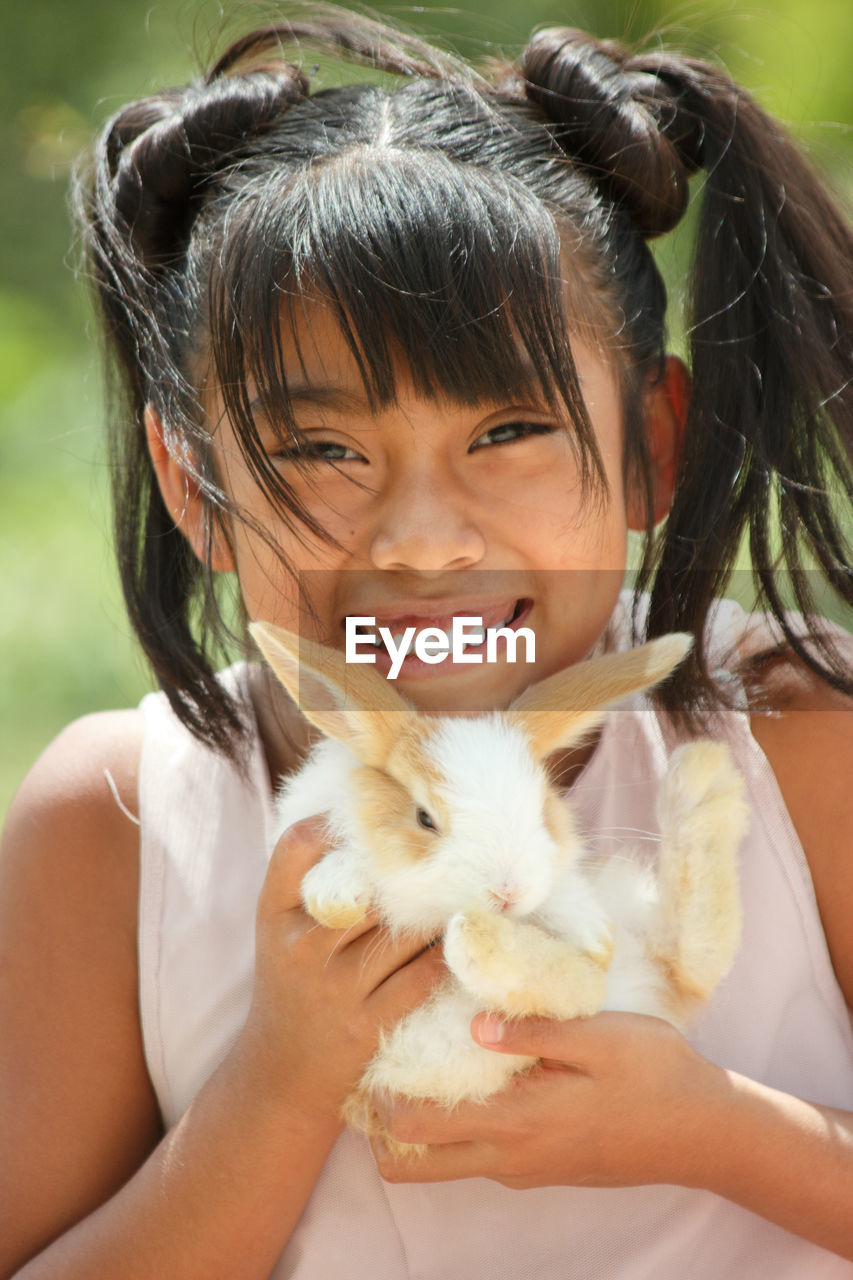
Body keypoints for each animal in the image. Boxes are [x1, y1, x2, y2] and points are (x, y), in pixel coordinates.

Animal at [249, 622, 747, 1162]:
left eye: (541, 807)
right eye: (425, 818)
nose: (508, 892)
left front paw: (591, 933)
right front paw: (336, 894)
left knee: (658, 969)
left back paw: (700, 778)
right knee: (602, 987)